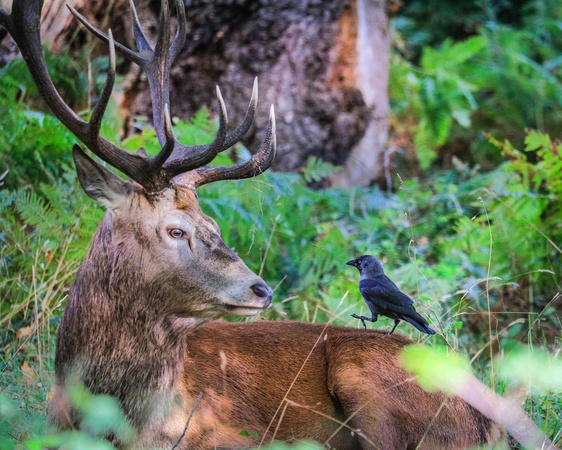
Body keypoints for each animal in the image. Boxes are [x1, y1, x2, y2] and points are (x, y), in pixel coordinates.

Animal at [0, 1, 553, 449]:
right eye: (176, 229)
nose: (261, 289)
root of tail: (486, 417)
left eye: (213, 221)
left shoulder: (231, 434)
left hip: (371, 385)